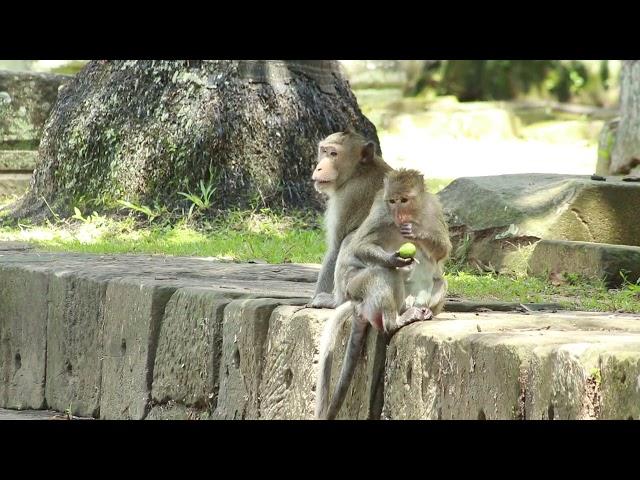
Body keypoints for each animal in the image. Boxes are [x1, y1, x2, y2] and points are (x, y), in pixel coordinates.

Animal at [308, 128, 392, 308]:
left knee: (349, 239)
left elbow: (335, 248)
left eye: (334, 154)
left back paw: (336, 301)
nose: (319, 168)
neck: (359, 171)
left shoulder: (347, 197)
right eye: (323, 151)